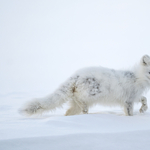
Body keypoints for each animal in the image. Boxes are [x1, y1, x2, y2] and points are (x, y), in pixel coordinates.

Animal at [20, 54, 150, 116]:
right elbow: (129, 114)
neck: (137, 77)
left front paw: (143, 109)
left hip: (76, 104)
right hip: (90, 95)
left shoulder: (134, 96)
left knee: (68, 113)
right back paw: (85, 111)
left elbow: (144, 99)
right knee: (80, 102)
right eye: (149, 72)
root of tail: (75, 76)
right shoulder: (128, 101)